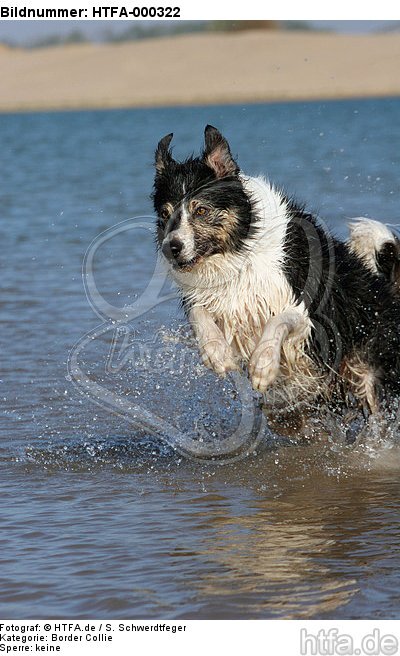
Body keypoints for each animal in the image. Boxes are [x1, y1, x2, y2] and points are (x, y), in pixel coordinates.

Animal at [152, 125, 400, 418]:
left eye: (201, 209)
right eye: (165, 214)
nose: (171, 248)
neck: (238, 253)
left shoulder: (306, 307)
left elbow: (278, 320)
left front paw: (262, 366)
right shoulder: (213, 299)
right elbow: (199, 313)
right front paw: (217, 354)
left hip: (373, 375)